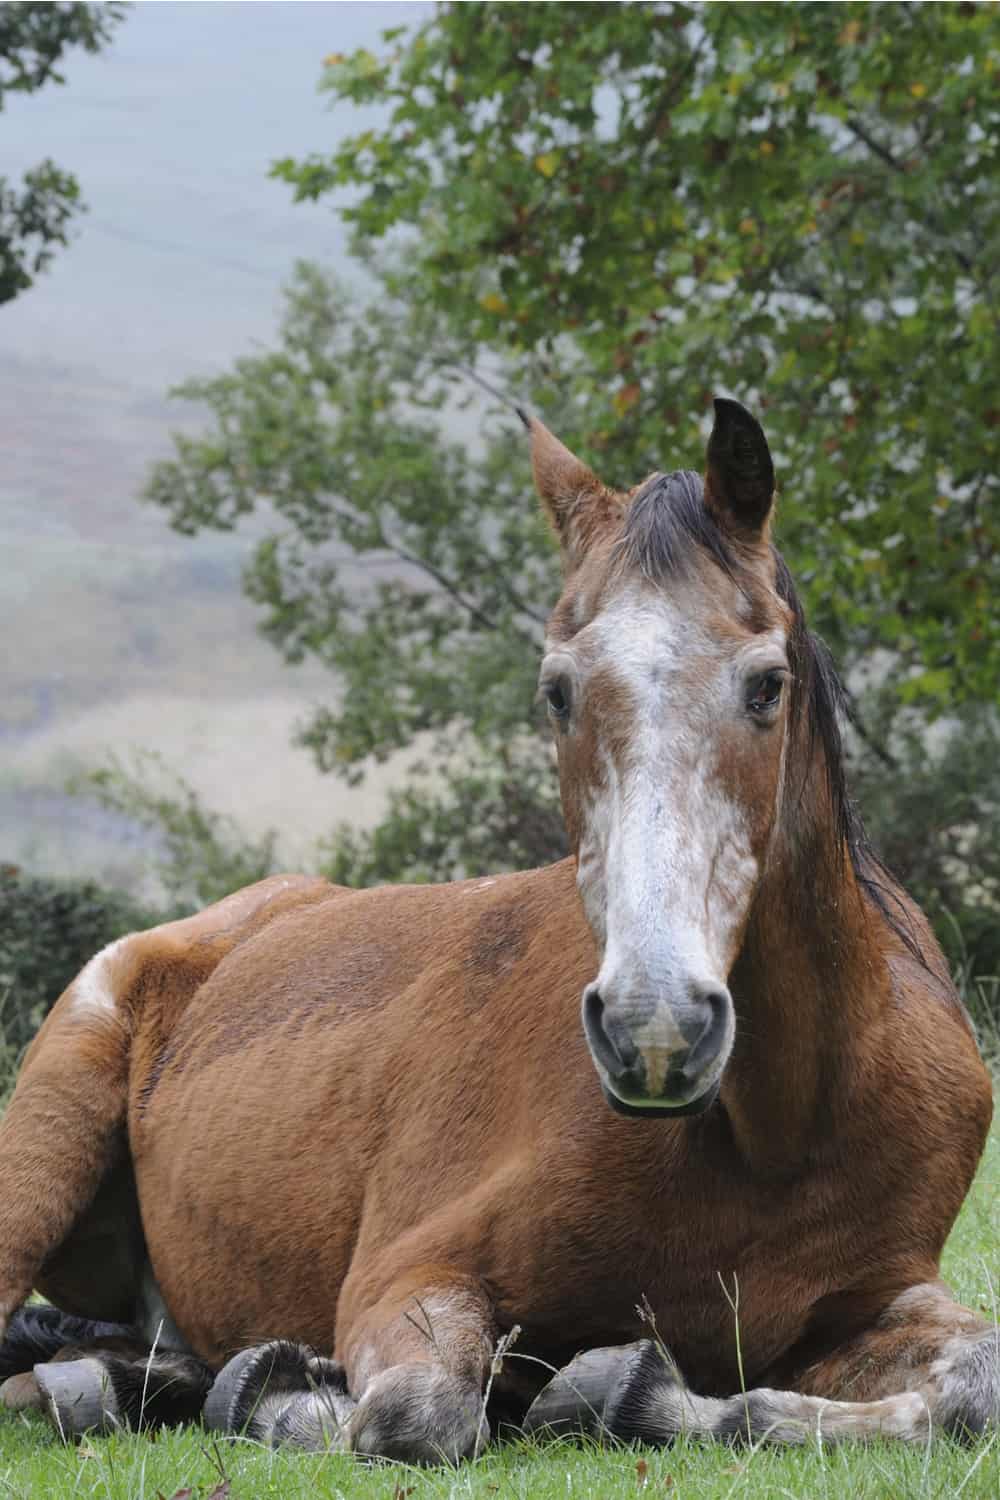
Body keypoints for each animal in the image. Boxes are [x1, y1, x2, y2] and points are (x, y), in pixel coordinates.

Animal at [0, 399, 995, 1462]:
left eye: (766, 684)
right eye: (558, 690)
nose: (655, 1029)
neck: (782, 1128)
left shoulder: (869, 1306)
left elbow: (972, 1384)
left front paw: (616, 1389)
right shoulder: (407, 1275)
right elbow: (418, 1409)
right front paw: (294, 1395)